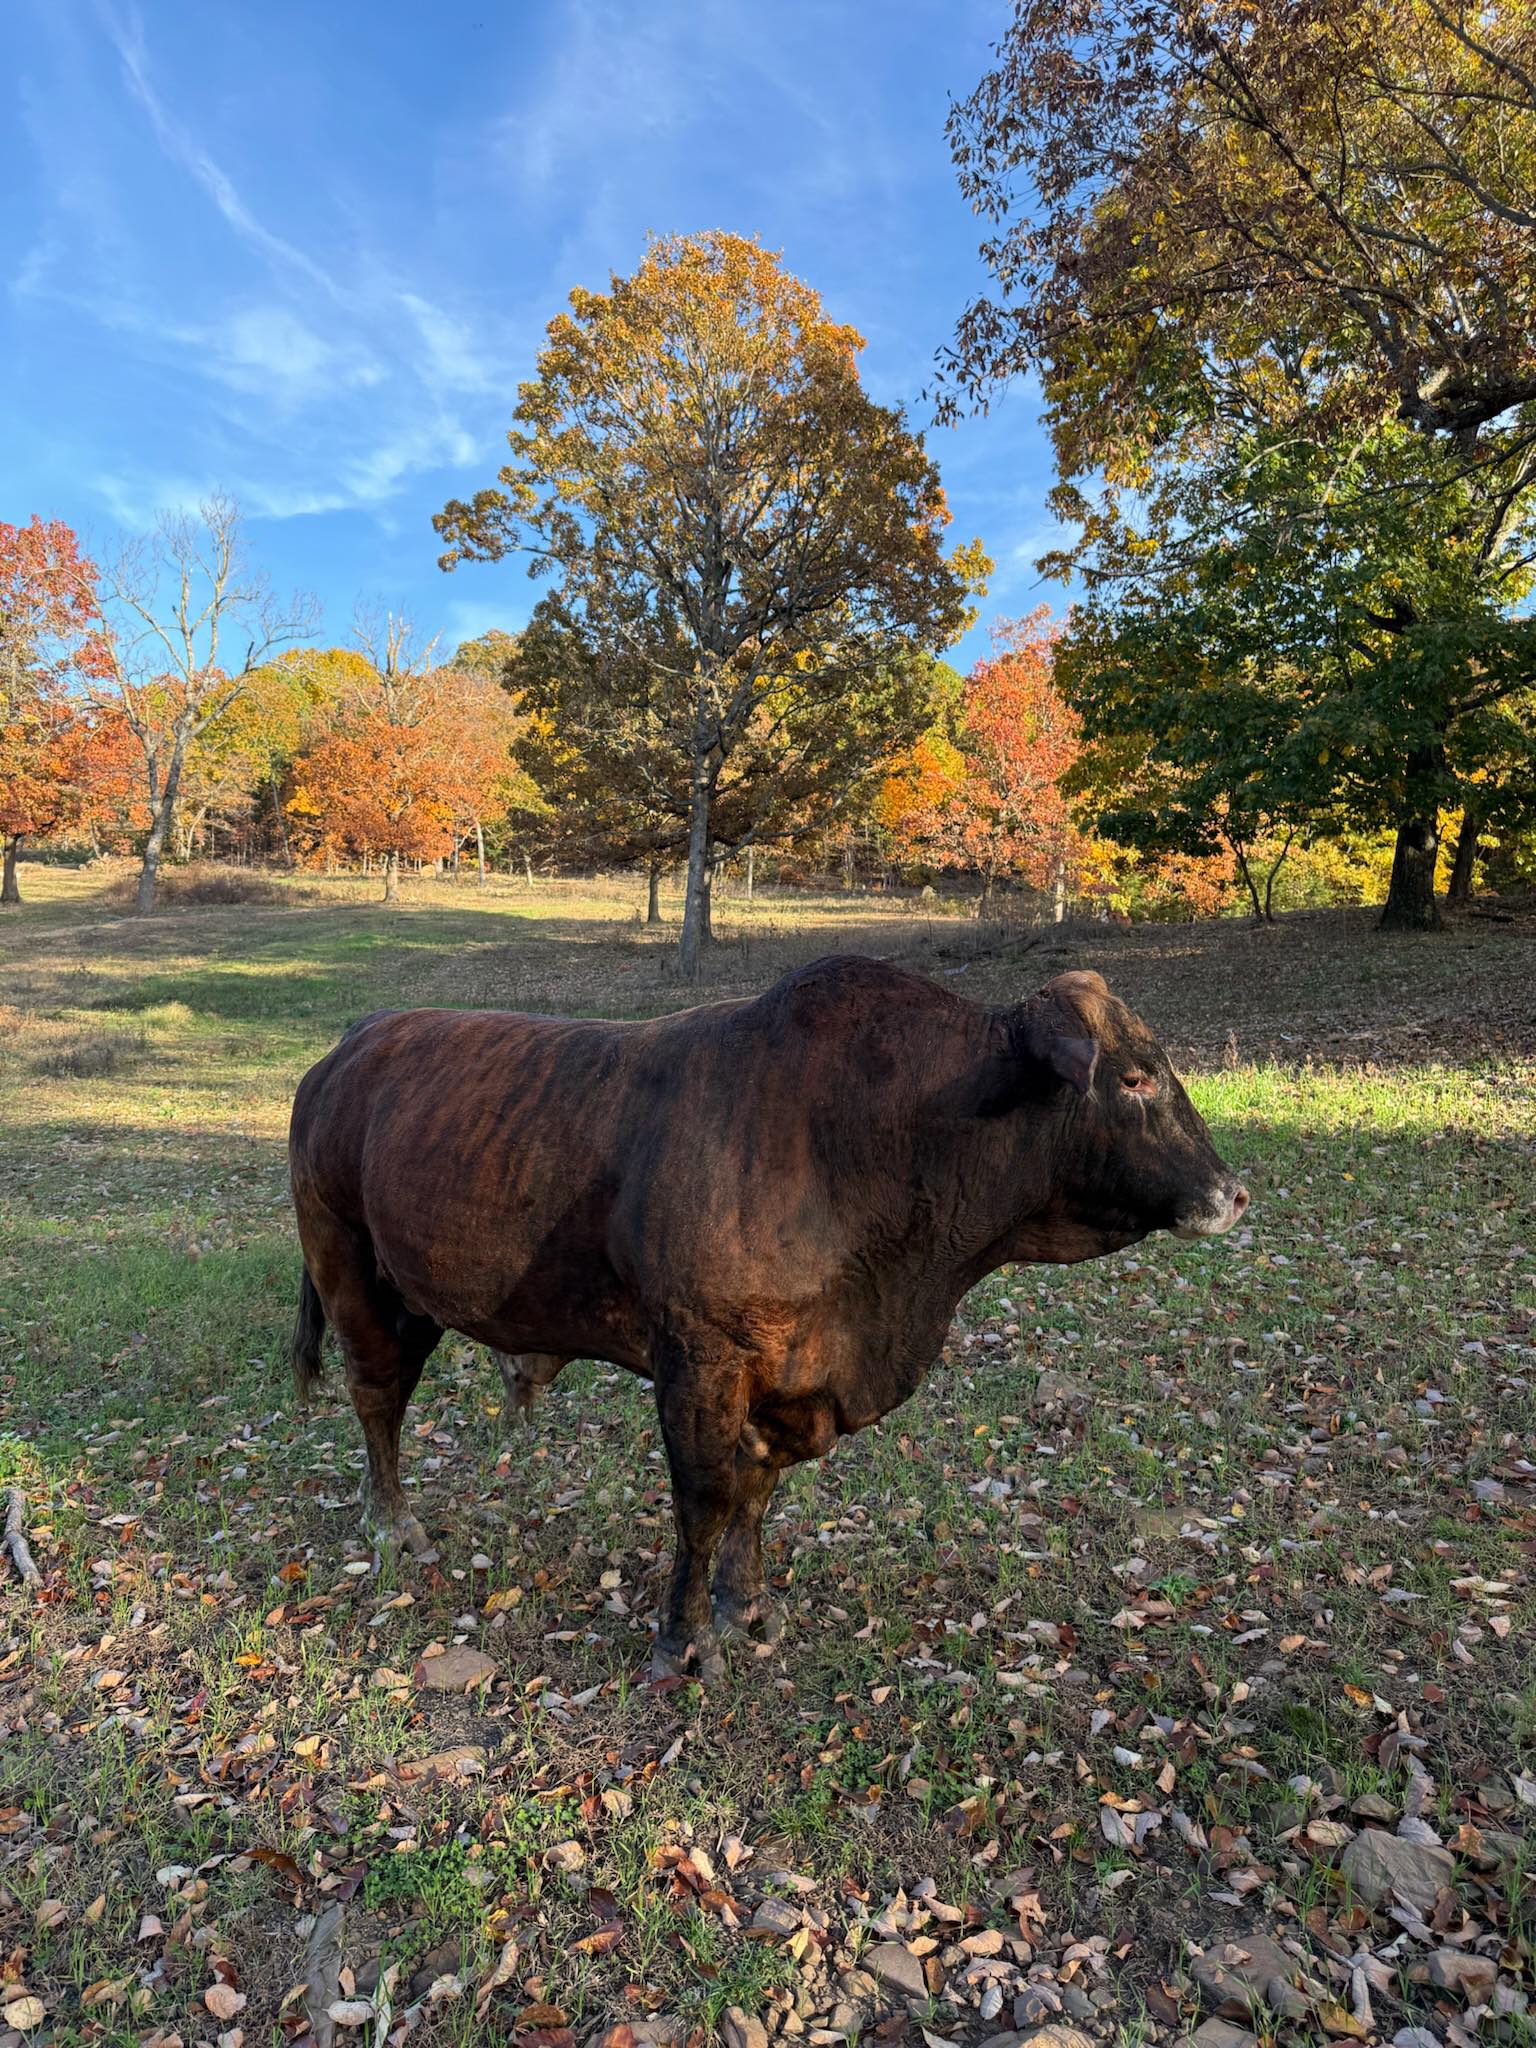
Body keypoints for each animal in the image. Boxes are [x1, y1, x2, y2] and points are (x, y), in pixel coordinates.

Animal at [288, 955, 1246, 1680]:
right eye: (1134, 1078)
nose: (1232, 1193)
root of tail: (357, 1039)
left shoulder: (792, 1381)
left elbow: (756, 1492)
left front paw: (746, 1606)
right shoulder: (700, 1360)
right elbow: (707, 1498)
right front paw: (682, 1639)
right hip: (350, 1270)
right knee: (377, 1398)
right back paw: (394, 1523)